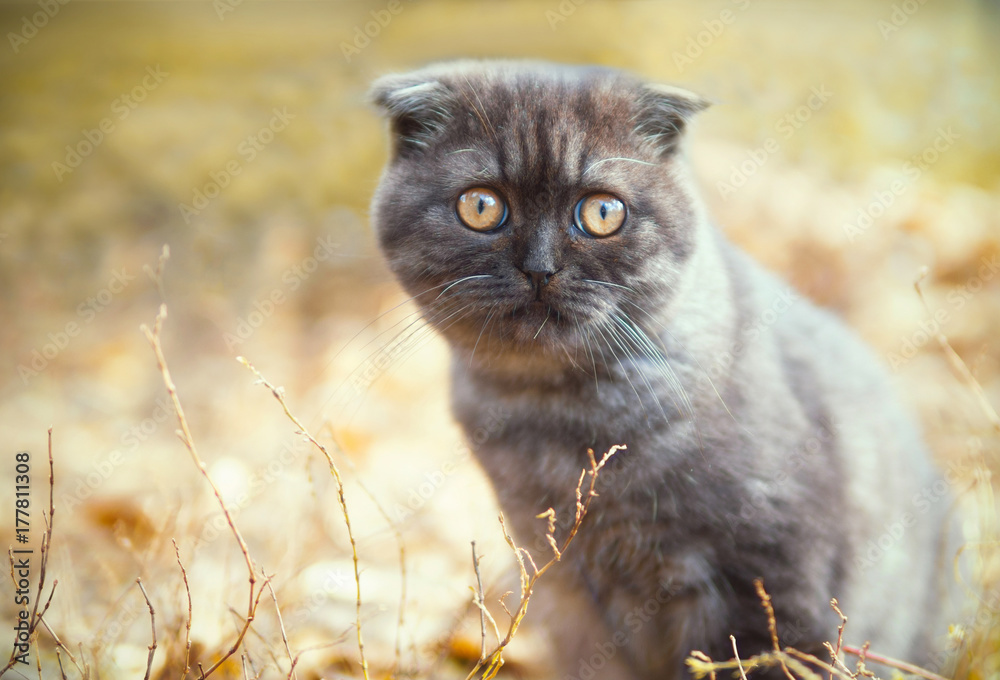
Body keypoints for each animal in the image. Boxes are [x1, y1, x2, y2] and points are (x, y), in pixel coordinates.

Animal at [368, 61, 952, 676]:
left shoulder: (767, 579)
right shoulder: (571, 596)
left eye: (602, 212)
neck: (559, 416)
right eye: (480, 206)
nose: (539, 269)